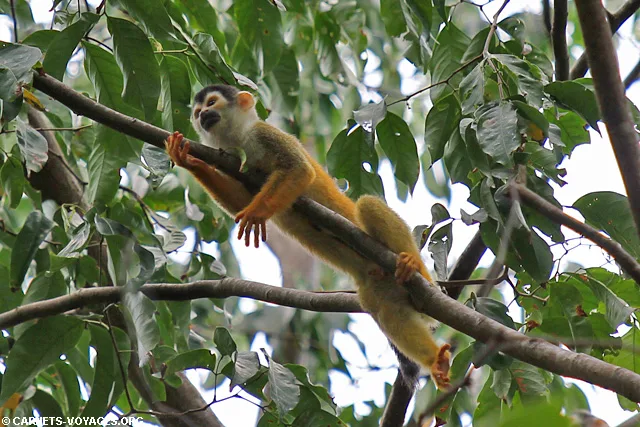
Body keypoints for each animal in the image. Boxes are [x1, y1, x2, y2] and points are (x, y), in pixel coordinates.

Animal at [164, 85, 451, 388]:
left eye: (211, 103)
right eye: (197, 111)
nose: (202, 116)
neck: (240, 138)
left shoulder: (263, 133)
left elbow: (299, 170)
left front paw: (256, 213)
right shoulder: (230, 158)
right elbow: (237, 201)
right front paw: (189, 161)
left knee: (367, 205)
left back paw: (413, 264)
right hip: (381, 286)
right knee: (384, 309)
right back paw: (435, 360)